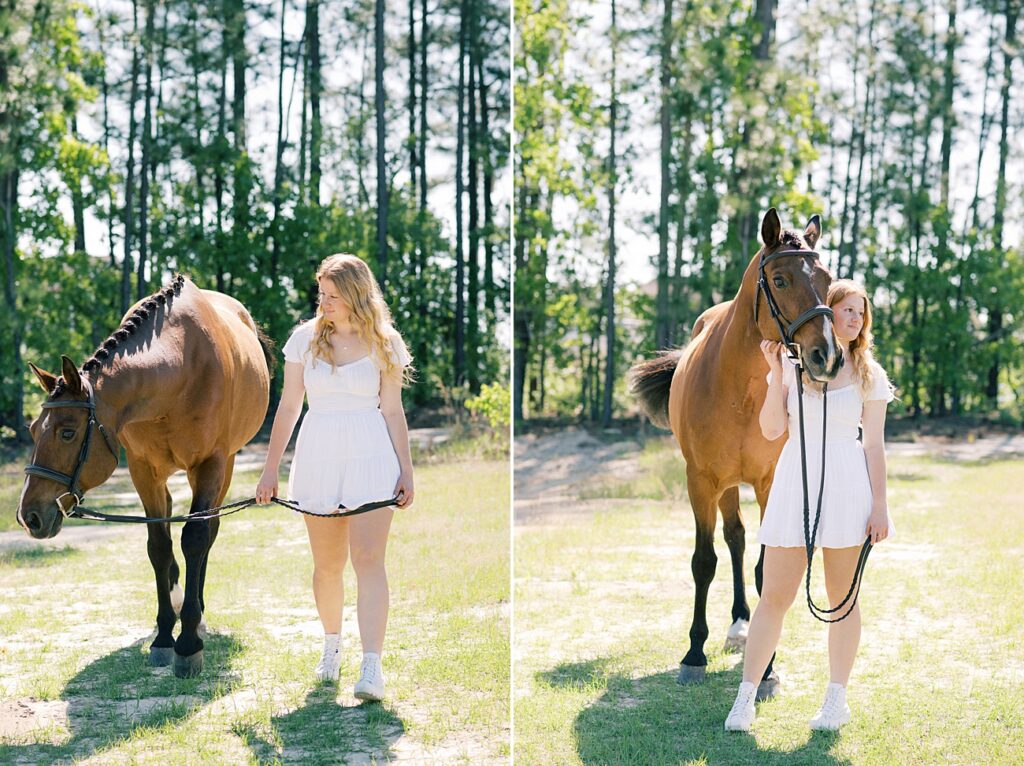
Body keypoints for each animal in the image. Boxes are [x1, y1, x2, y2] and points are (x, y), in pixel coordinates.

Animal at [16, 275, 272, 678]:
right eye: (31, 429)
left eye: (67, 432)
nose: (29, 516)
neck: (179, 368)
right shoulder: (143, 470)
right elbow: (159, 546)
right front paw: (165, 636)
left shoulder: (211, 464)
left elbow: (195, 538)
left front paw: (188, 643)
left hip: (225, 466)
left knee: (210, 531)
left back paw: (197, 614)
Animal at [628, 208, 840, 700]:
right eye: (779, 280)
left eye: (827, 278)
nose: (826, 355)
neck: (740, 390)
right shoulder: (701, 481)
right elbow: (703, 562)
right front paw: (693, 654)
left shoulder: (769, 482)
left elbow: (767, 569)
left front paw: (766, 667)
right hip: (723, 486)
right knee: (733, 539)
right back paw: (737, 624)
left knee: (740, 541)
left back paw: (744, 626)